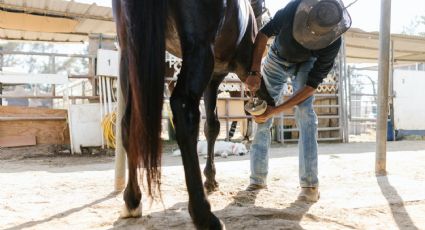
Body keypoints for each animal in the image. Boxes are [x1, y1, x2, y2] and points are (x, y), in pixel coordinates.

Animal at [112, 0, 262, 228]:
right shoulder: (232, 71)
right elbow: (213, 125)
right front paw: (210, 178)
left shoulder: (214, 77)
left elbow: (211, 126)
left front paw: (210, 178)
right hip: (199, 49)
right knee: (184, 108)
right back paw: (203, 214)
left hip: (129, 56)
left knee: (129, 124)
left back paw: (132, 200)